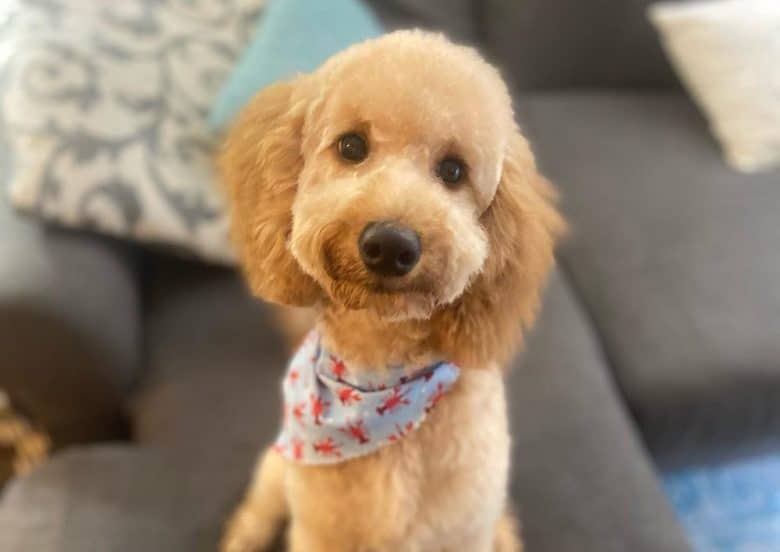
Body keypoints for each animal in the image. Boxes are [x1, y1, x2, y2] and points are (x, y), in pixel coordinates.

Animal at [216, 29, 564, 552]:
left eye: (453, 171)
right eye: (351, 145)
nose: (390, 245)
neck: (380, 379)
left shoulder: (462, 528)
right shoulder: (320, 530)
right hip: (281, 469)